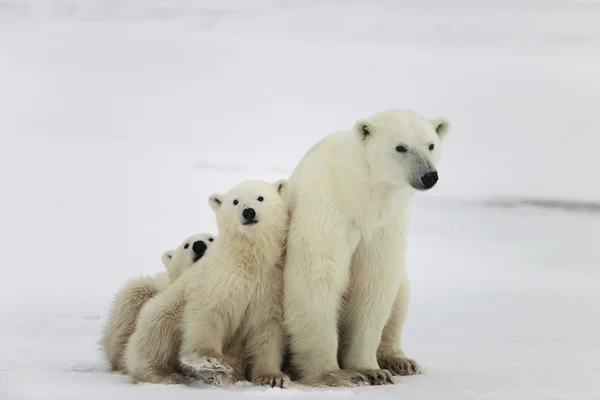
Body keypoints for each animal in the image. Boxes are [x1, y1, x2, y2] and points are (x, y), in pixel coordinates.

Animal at [125, 180, 290, 388]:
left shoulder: (270, 285)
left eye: (260, 197)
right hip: (162, 310)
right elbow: (207, 312)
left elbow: (267, 329)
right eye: (235, 201)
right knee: (156, 335)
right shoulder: (218, 278)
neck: (248, 260)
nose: (248, 212)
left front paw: (273, 377)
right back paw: (166, 374)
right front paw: (210, 361)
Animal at [282, 109, 450, 388]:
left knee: (400, 295)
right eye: (401, 147)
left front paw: (371, 370)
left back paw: (400, 361)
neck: (358, 197)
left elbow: (373, 283)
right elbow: (317, 278)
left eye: (431, 145)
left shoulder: (383, 226)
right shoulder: (325, 212)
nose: (429, 176)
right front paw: (334, 374)